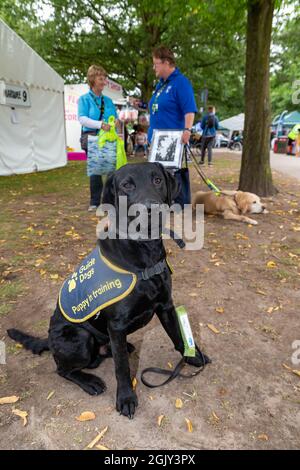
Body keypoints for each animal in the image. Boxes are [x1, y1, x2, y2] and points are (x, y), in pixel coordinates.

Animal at [6, 162, 209, 418]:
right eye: (126, 185)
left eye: (157, 180)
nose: (151, 208)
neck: (144, 252)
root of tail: (49, 340)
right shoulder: (117, 324)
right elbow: (122, 368)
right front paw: (126, 398)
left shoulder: (166, 306)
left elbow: (178, 336)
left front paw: (192, 357)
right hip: (79, 337)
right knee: (63, 369)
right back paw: (89, 381)